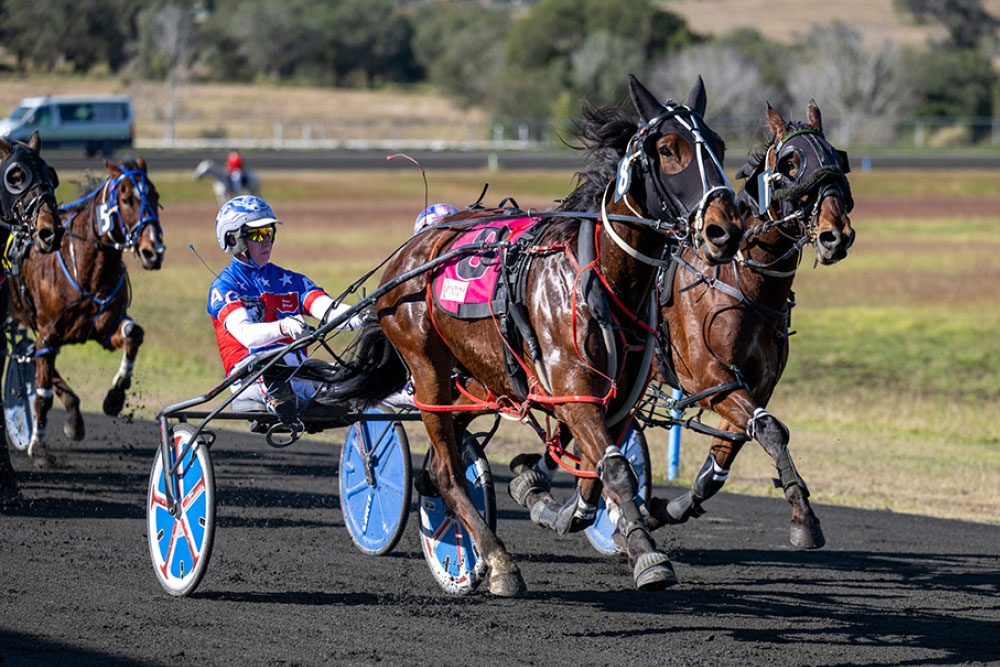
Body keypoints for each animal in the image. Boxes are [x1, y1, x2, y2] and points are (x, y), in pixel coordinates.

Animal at [8, 158, 164, 463]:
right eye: (126, 199)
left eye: (155, 196)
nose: (154, 251)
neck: (86, 265)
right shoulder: (49, 331)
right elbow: (43, 391)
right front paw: (38, 445)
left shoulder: (103, 326)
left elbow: (133, 334)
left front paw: (114, 398)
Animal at [331, 75, 743, 596]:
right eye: (669, 150)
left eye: (720, 146)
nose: (724, 230)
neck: (602, 278)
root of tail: (411, 250)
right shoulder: (573, 390)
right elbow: (616, 469)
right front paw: (648, 556)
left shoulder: (615, 399)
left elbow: (594, 474)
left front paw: (554, 502)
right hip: (427, 372)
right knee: (448, 472)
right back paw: (497, 560)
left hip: (478, 379)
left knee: (438, 465)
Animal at [643, 100, 855, 549]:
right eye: (790, 163)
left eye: (835, 159)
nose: (836, 236)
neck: (740, 282)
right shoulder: (711, 380)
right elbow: (771, 430)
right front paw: (804, 517)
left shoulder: (754, 385)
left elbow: (727, 455)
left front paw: (667, 509)